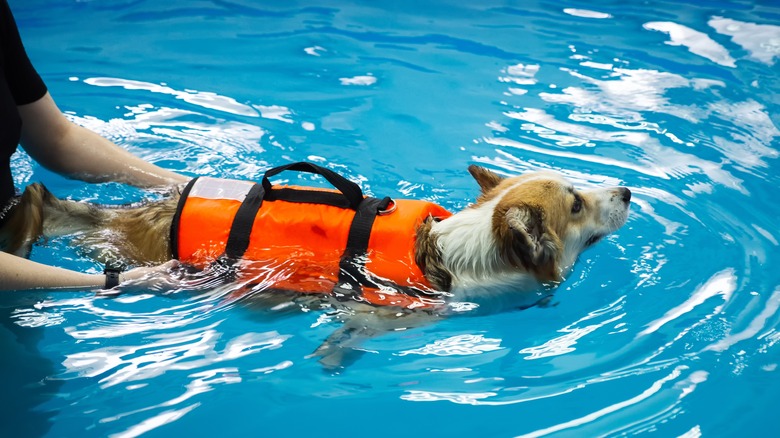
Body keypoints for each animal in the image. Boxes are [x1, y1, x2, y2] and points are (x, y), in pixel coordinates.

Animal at [0, 164, 632, 366]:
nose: (627, 189)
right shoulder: (380, 314)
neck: (458, 257)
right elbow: (348, 336)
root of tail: (144, 215)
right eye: (576, 204)